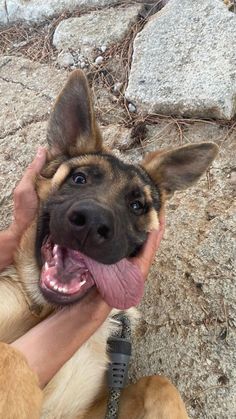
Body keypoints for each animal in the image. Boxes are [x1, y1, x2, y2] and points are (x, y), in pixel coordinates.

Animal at [0, 70, 218, 418]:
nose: (92, 224)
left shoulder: (92, 410)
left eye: (137, 205)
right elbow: (10, 356)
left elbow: (160, 383)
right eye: (79, 179)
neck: (49, 311)